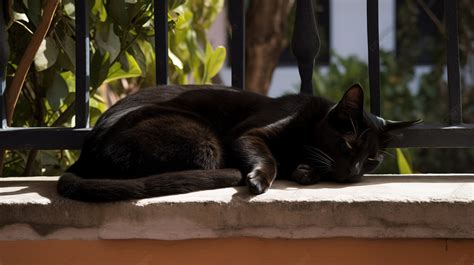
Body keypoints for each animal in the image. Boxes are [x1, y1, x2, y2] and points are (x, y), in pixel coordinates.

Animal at [58, 83, 418, 201]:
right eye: (348, 145)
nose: (354, 172)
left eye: (372, 160)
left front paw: (306, 172)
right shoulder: (248, 134)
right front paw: (260, 180)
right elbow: (267, 157)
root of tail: (84, 154)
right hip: (203, 138)